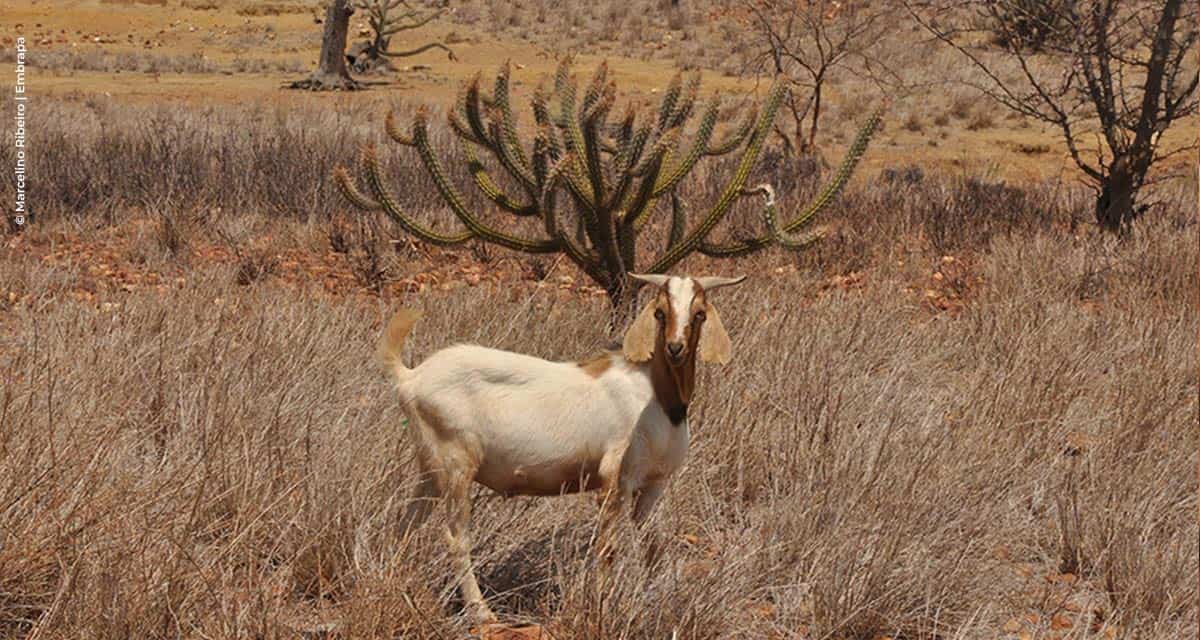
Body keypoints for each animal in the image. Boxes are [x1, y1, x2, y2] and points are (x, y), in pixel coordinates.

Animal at [379, 272, 744, 619]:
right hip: (456, 464)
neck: (658, 396)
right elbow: (607, 548)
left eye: (699, 313)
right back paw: (482, 613)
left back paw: (397, 583)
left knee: (404, 525)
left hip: (431, 470)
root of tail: (410, 377)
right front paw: (601, 606)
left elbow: (652, 545)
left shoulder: (655, 483)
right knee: (456, 538)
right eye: (659, 312)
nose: (675, 348)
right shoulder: (616, 479)